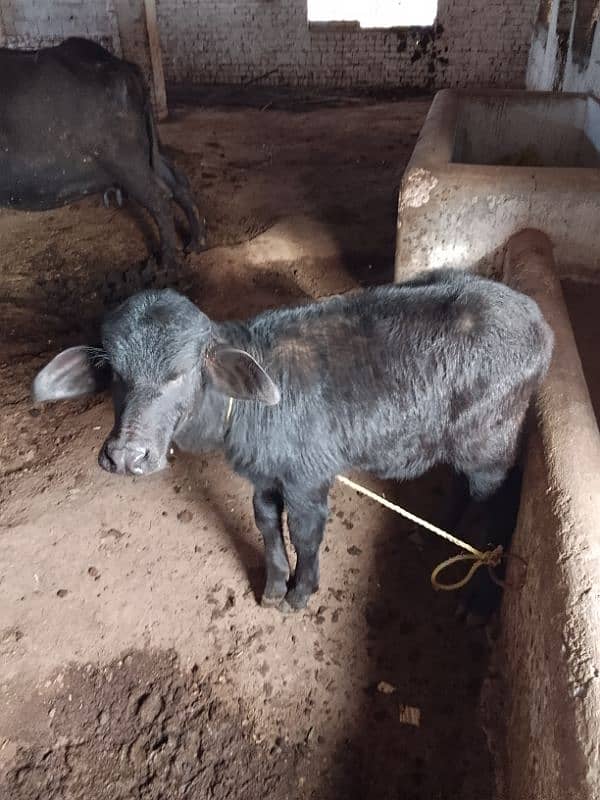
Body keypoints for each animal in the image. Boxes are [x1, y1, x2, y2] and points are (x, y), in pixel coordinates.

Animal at [0, 37, 206, 262]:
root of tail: (123, 66)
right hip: (149, 153)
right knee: (178, 182)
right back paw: (196, 243)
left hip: (126, 162)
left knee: (159, 199)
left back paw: (167, 261)